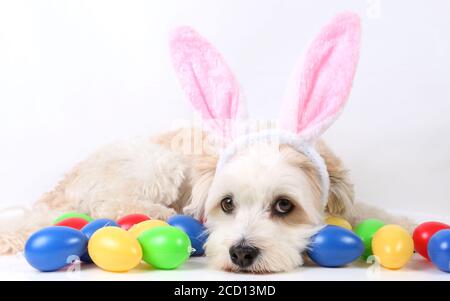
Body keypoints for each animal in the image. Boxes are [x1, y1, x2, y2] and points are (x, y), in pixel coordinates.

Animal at [0, 13, 414, 272]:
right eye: (227, 204)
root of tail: (60, 188)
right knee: (111, 201)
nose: (242, 253)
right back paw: (158, 214)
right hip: (157, 162)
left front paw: (406, 223)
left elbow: (369, 211)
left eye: (284, 206)